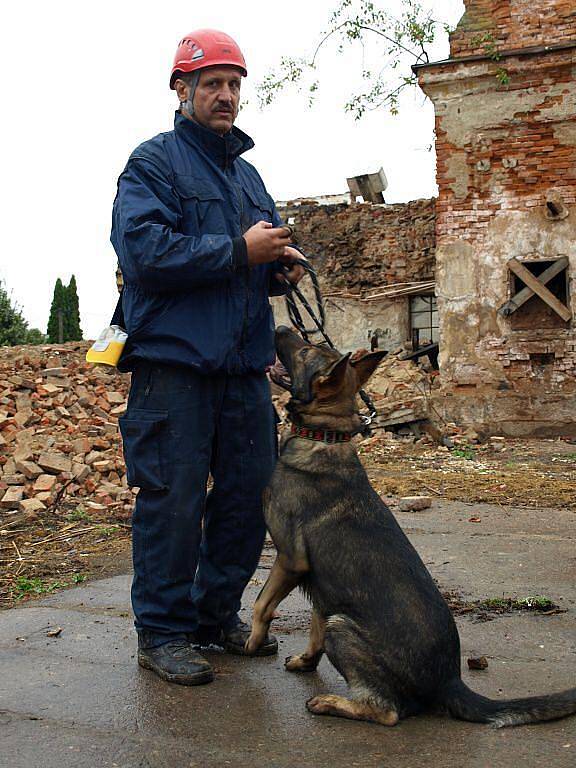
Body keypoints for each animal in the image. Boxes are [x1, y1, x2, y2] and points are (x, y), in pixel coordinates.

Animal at [246, 328, 576, 728]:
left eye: (306, 350)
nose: (279, 329)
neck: (323, 436)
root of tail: (449, 681)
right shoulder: (324, 590)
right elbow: (314, 628)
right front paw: (306, 661)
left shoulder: (290, 560)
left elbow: (262, 605)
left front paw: (252, 642)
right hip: (340, 616)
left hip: (344, 627)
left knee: (387, 711)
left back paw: (332, 703)